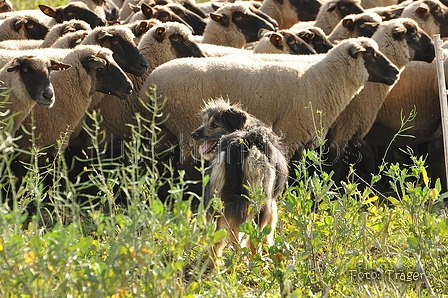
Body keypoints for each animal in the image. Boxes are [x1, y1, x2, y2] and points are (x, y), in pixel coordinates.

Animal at [140, 37, 400, 161]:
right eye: (370, 54)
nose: (396, 72)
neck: (320, 79)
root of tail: (151, 81)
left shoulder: (305, 140)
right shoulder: (290, 133)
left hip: (164, 132)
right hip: (188, 129)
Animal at [191, 97, 288, 268]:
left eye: (214, 125)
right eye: (205, 122)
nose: (193, 135)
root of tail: (239, 145)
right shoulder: (271, 204)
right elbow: (268, 231)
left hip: (216, 199)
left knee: (219, 237)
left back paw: (215, 264)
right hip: (260, 200)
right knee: (252, 236)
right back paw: (254, 262)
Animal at [324, 18, 436, 183]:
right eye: (414, 33)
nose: (433, 49)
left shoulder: (354, 129)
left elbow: (368, 155)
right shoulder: (344, 127)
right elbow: (336, 166)